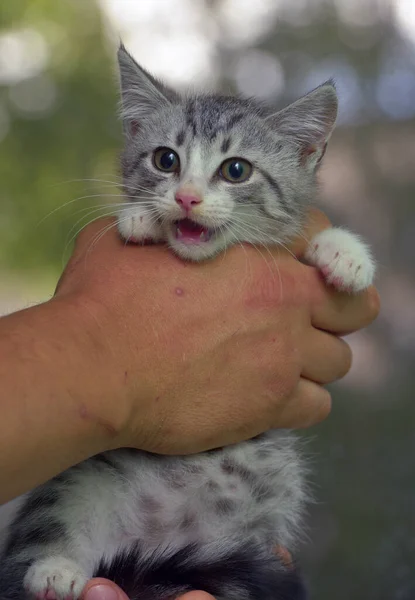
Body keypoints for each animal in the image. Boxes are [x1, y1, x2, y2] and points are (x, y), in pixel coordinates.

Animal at [0, 45, 376, 600]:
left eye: (236, 169)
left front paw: (346, 255)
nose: (187, 198)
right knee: (48, 522)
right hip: (80, 475)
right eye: (166, 160)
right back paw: (55, 569)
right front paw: (140, 218)